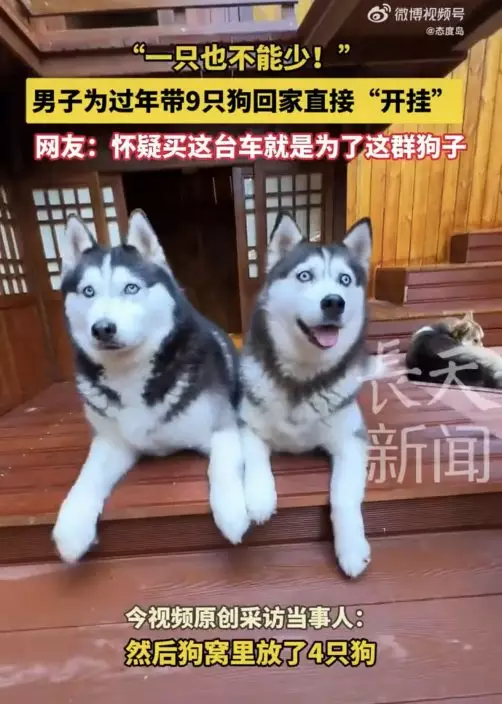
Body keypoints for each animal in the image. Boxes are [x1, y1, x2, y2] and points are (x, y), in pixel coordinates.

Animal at [52, 210, 250, 564]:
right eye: (88, 292)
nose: (103, 328)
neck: (131, 374)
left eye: (131, 288)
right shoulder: (112, 443)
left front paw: (231, 511)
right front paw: (72, 528)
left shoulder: (223, 429)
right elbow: (86, 478)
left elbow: (222, 468)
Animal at [238, 211, 386, 579]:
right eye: (305, 275)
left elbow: (343, 495)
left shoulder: (351, 439)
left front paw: (351, 548)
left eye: (345, 280)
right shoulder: (247, 424)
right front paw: (259, 498)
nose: (333, 301)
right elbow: (255, 457)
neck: (303, 377)